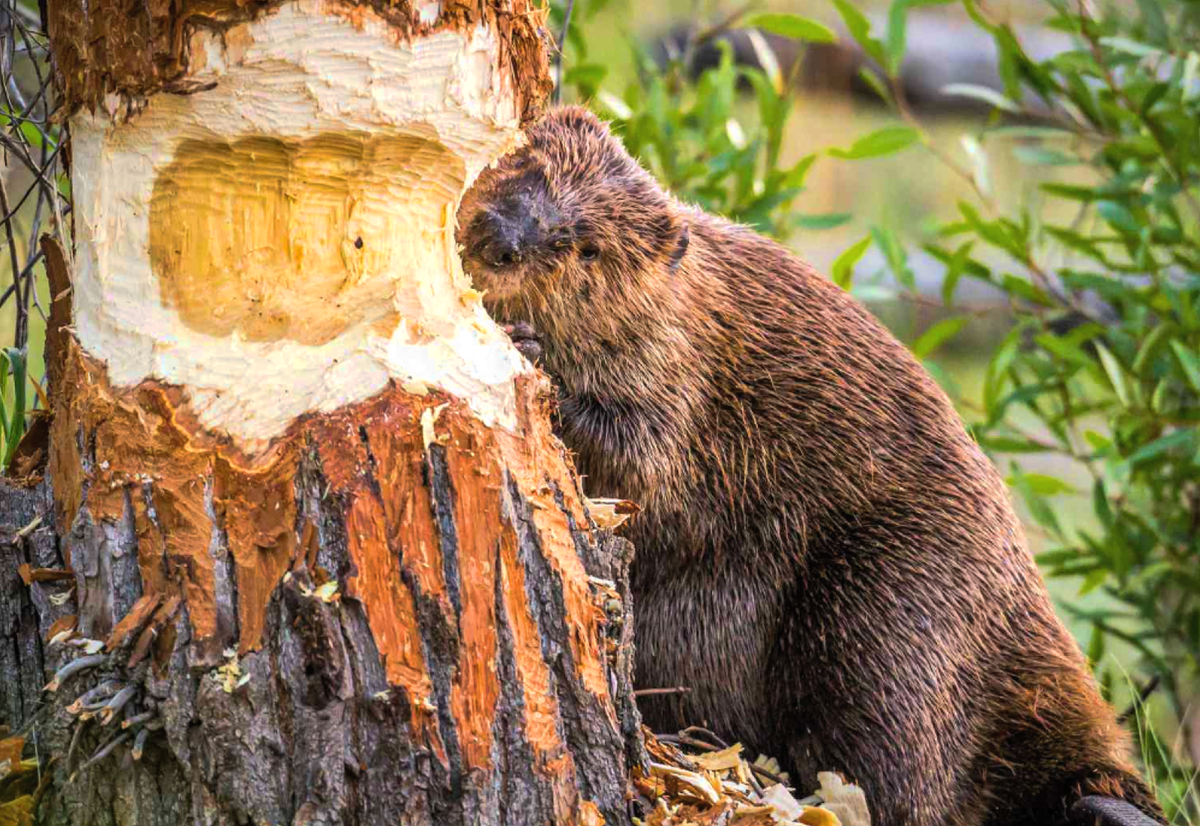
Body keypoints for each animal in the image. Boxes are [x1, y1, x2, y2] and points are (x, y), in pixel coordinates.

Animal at [453, 108, 1166, 826]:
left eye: (587, 246)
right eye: (525, 165)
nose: (501, 239)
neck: (689, 297)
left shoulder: (683, 368)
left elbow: (645, 461)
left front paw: (530, 351)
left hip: (888, 608)